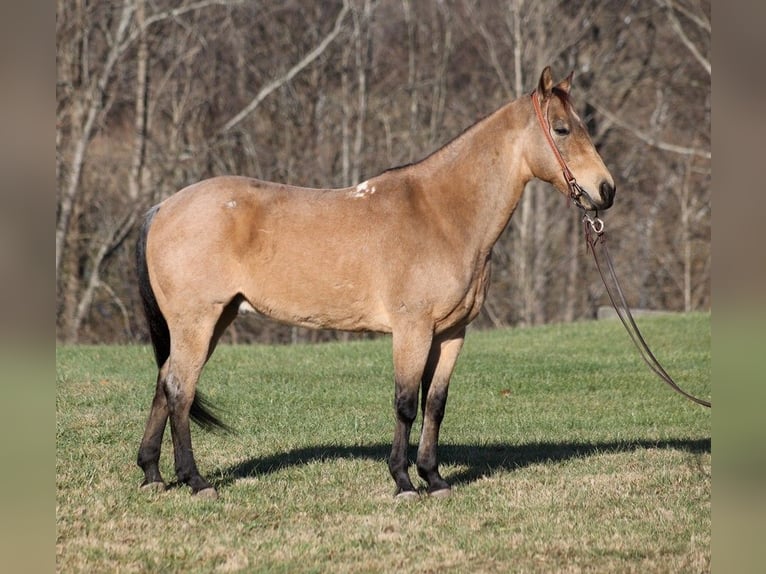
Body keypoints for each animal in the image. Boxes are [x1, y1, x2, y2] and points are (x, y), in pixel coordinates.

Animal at [136, 66, 616, 500]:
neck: (442, 214)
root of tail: (163, 208)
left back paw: (152, 475)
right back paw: (194, 481)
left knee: (164, 383)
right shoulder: (412, 330)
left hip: (214, 320)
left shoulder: (451, 334)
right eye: (562, 129)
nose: (606, 190)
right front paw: (403, 482)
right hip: (198, 322)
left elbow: (435, 405)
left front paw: (434, 479)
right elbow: (405, 404)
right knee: (179, 389)